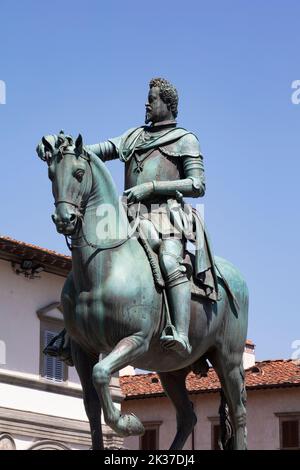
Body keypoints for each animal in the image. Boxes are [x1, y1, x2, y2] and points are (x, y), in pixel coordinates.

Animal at [39, 134, 248, 450]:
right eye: (51, 174)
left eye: (78, 173)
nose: (65, 219)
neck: (105, 266)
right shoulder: (82, 349)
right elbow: (91, 407)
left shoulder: (135, 340)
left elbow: (102, 375)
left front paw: (129, 424)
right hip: (171, 370)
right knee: (187, 417)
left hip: (229, 360)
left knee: (238, 414)